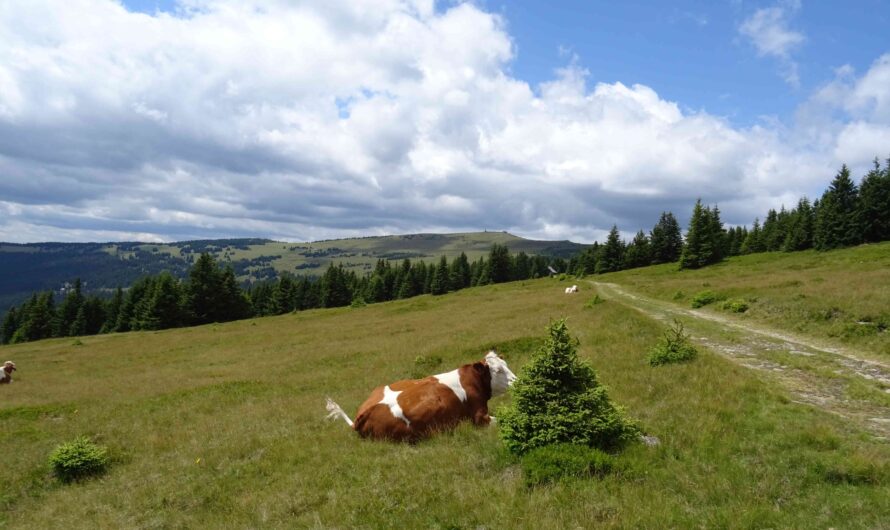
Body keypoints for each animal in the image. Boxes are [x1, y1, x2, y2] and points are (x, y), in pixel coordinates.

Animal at [325, 350, 516, 442]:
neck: (471, 380)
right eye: (497, 370)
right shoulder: (479, 418)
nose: (517, 381)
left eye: (506, 364)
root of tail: (362, 414)